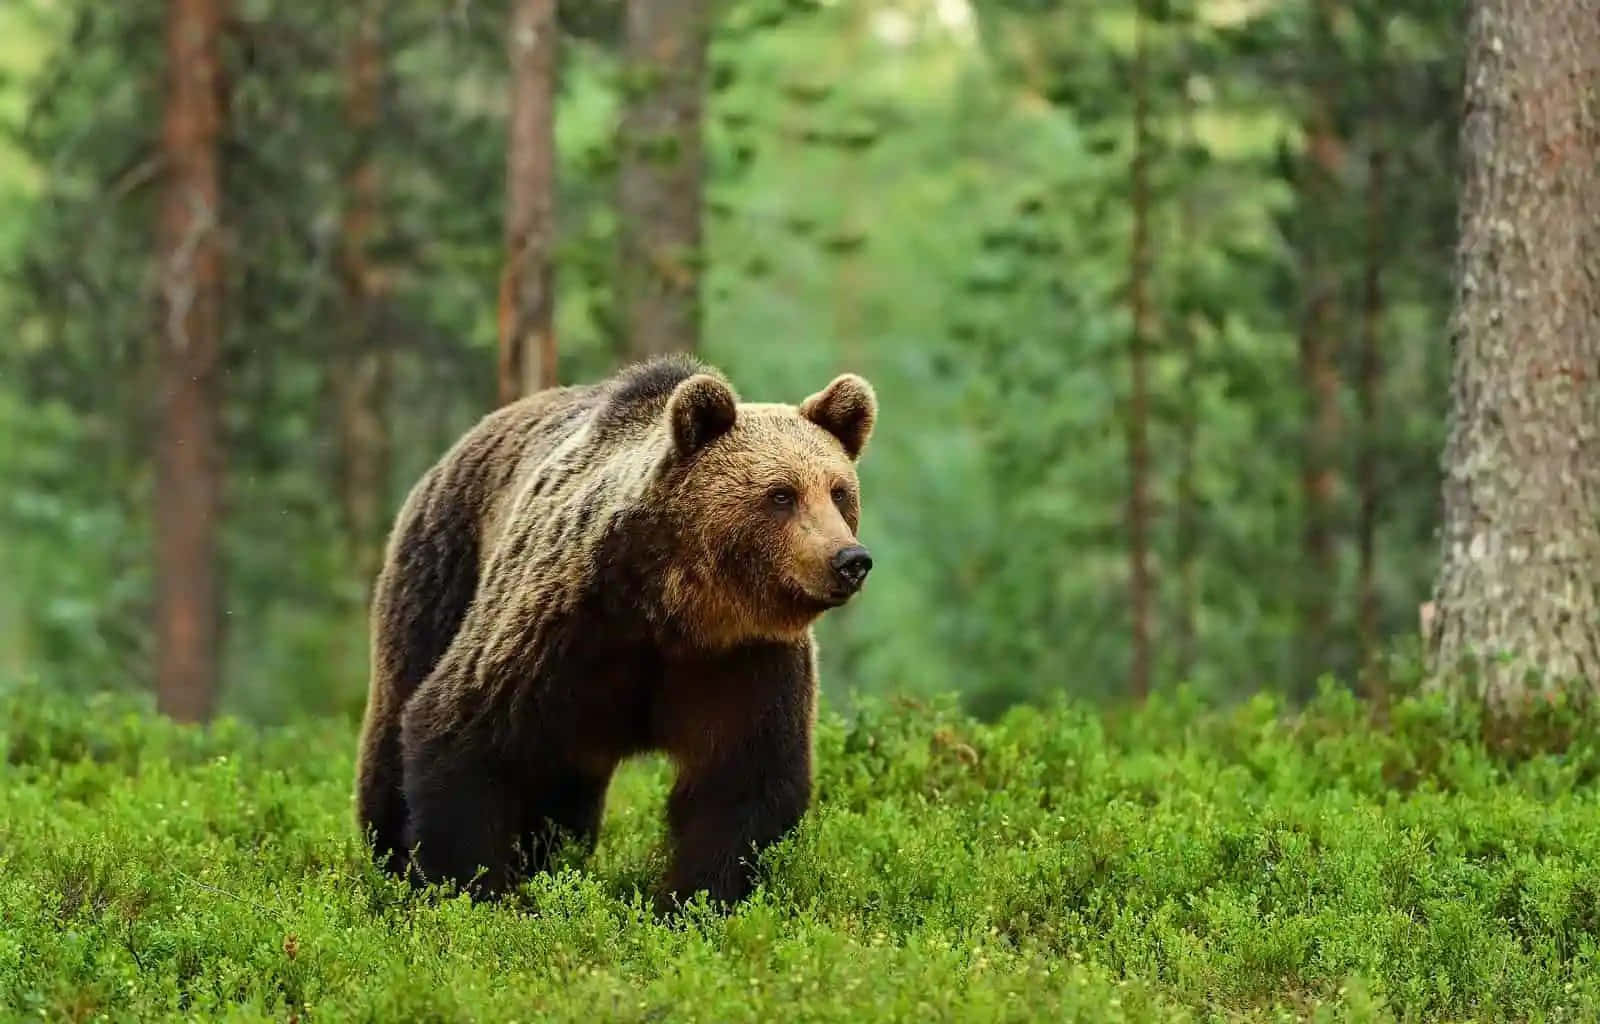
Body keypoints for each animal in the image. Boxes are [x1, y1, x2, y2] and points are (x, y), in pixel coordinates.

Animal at [353, 354, 877, 910]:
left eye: (839, 492)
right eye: (781, 494)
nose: (849, 560)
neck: (677, 608)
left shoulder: (744, 660)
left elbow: (741, 785)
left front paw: (694, 900)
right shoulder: (562, 627)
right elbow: (461, 731)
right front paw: (469, 890)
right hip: (441, 571)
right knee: (397, 714)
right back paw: (388, 854)